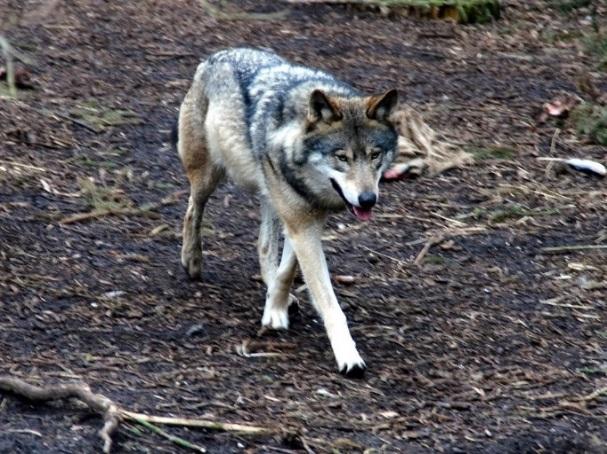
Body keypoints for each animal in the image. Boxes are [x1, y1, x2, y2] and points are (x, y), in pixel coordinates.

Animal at [176, 48, 400, 378]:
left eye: (375, 155)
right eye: (342, 157)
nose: (368, 200)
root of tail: (214, 56)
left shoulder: (307, 220)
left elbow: (287, 269)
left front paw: (275, 308)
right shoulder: (301, 223)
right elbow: (330, 304)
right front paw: (348, 356)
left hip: (270, 198)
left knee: (263, 244)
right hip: (208, 176)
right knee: (193, 209)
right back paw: (192, 260)